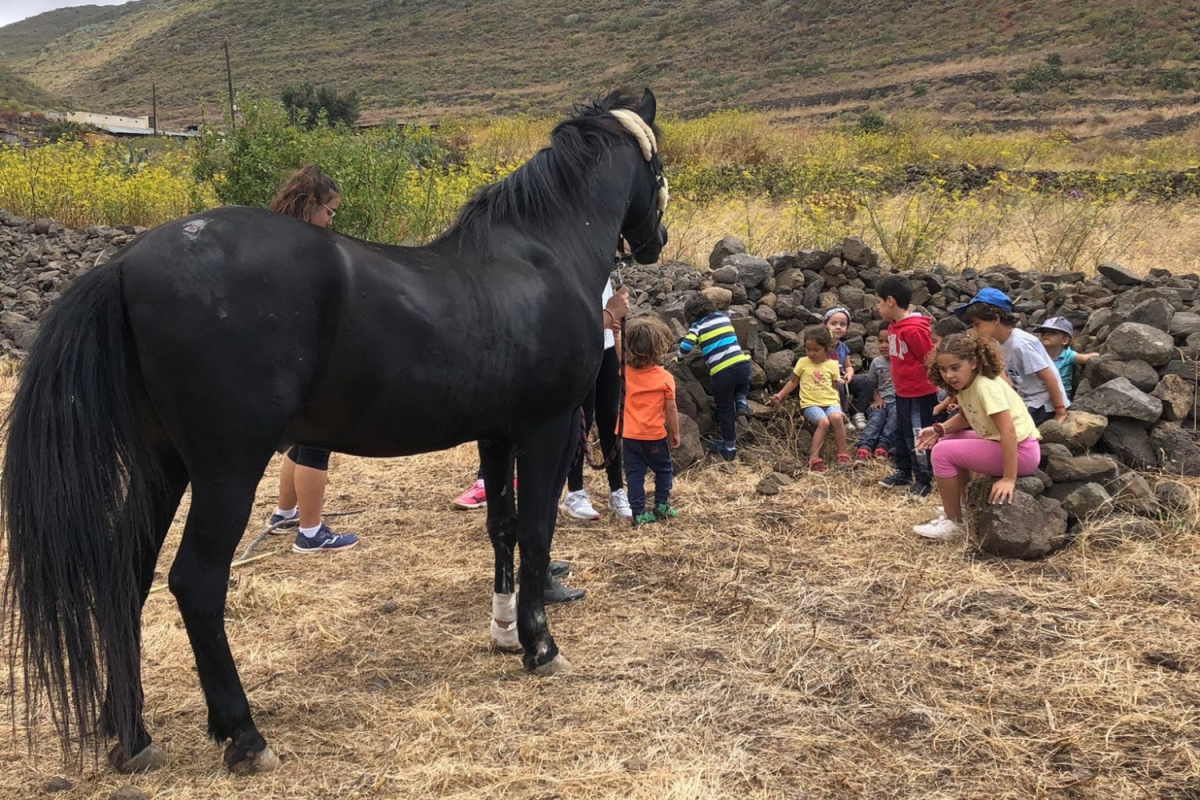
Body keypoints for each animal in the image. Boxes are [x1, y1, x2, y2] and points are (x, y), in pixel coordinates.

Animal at [2, 88, 668, 775]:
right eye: (658, 163)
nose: (655, 241)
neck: (540, 256)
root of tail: (125, 265)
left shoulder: (496, 435)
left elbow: (502, 529)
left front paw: (505, 630)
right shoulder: (546, 429)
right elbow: (535, 533)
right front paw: (540, 645)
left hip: (163, 466)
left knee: (127, 576)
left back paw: (129, 733)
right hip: (226, 471)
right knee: (194, 582)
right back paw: (244, 736)